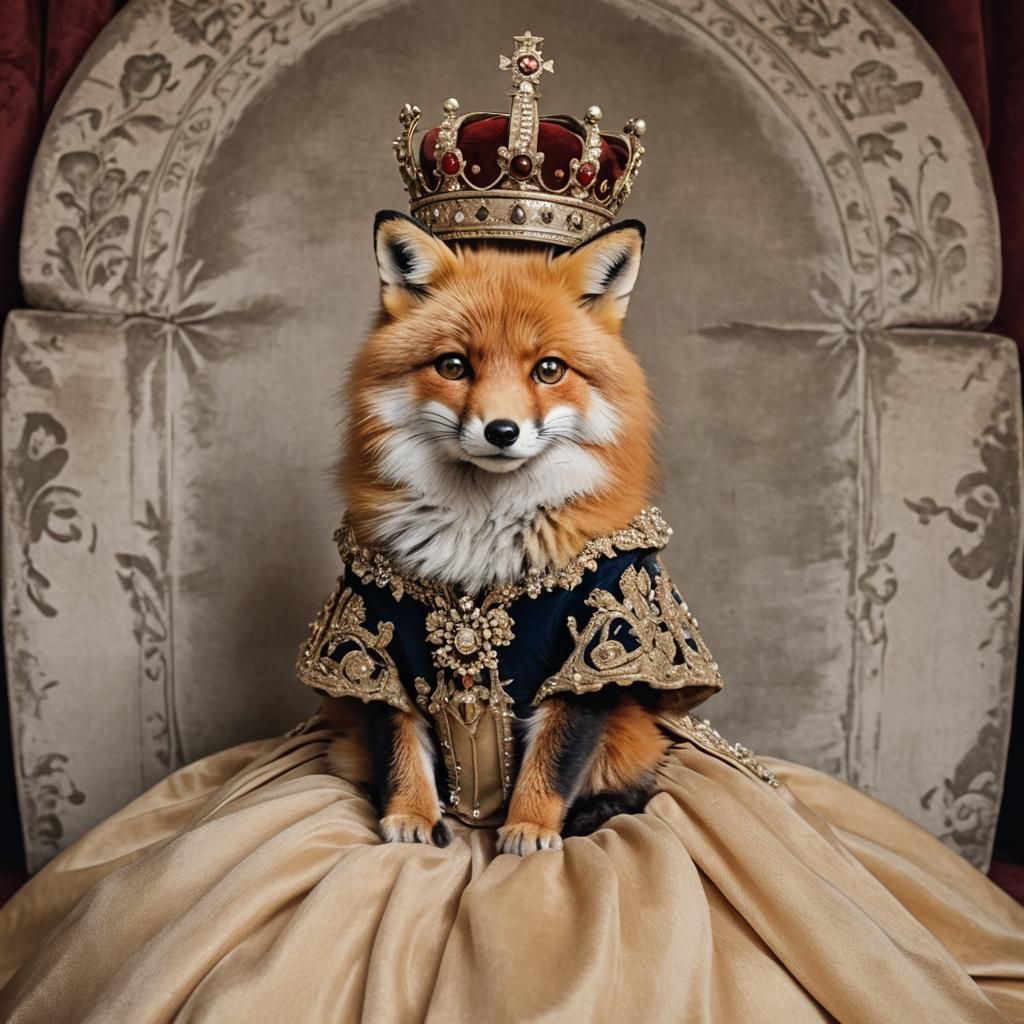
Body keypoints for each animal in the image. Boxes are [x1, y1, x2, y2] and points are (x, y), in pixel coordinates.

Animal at [326, 210, 674, 855]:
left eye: (549, 370)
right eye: (454, 366)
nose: (502, 431)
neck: (480, 537)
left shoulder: (589, 661)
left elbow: (553, 764)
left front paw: (530, 829)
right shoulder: (379, 652)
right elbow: (400, 755)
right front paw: (410, 818)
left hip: (630, 729)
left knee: (642, 785)